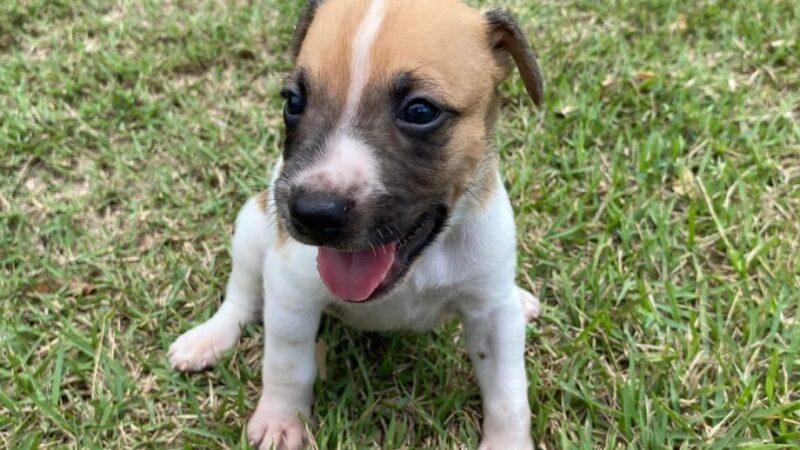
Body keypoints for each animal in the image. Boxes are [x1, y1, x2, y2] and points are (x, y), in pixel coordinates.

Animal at [169, 1, 544, 448]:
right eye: (293, 101)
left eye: (421, 111)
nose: (312, 212)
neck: (422, 261)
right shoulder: (291, 292)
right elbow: (287, 364)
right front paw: (280, 420)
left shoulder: (492, 316)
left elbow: (508, 392)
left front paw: (508, 441)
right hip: (250, 228)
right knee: (241, 295)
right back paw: (209, 337)